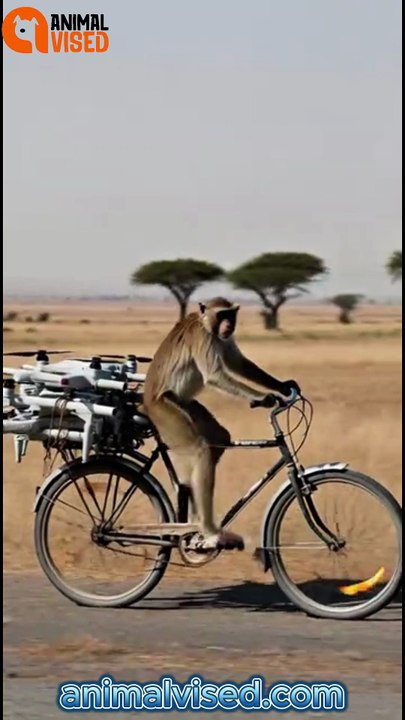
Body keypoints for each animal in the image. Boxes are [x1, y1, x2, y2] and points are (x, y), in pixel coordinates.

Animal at [142, 297, 301, 552]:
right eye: (222, 315)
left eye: (231, 315)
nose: (228, 325)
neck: (206, 323)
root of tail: (146, 403)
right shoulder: (205, 338)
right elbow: (216, 375)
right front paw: (265, 398)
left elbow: (240, 363)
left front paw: (284, 386)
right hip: (165, 411)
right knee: (201, 450)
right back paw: (208, 530)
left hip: (186, 405)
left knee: (217, 441)